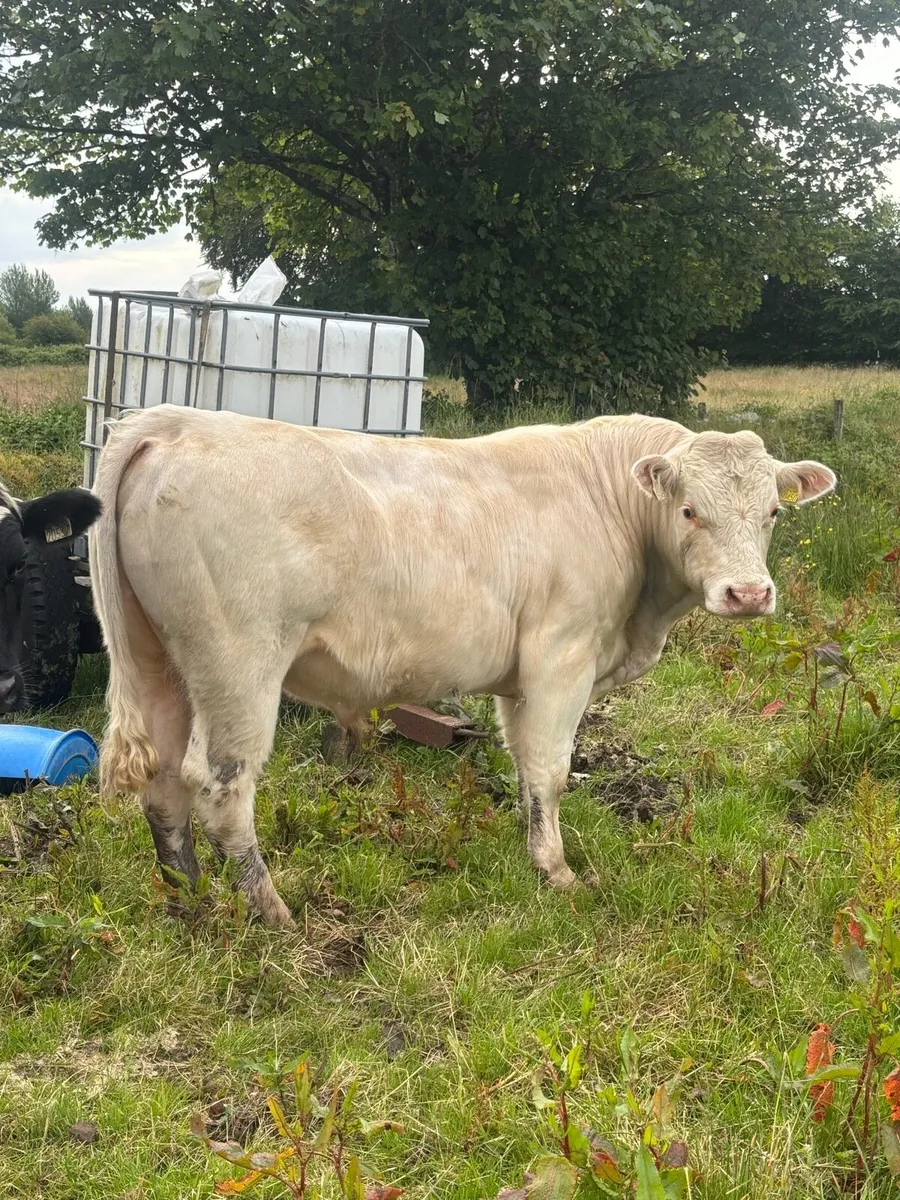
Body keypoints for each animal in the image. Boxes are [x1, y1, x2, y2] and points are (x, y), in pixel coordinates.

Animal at [89, 405, 835, 926]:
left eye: (773, 511)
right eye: (689, 510)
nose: (748, 593)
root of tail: (174, 423)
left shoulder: (519, 677)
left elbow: (526, 771)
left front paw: (536, 857)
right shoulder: (561, 656)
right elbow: (552, 768)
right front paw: (560, 874)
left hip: (158, 661)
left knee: (162, 781)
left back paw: (188, 900)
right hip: (238, 664)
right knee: (219, 788)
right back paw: (270, 911)